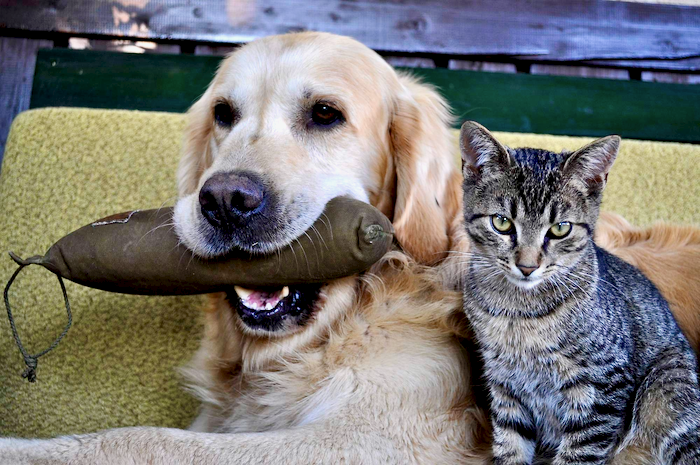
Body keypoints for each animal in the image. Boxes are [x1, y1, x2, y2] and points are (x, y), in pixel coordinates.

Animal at [458, 121, 700, 465]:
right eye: (502, 222)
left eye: (560, 228)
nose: (527, 266)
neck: (519, 312)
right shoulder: (504, 385)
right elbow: (510, 445)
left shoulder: (603, 386)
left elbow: (579, 453)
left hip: (667, 393)